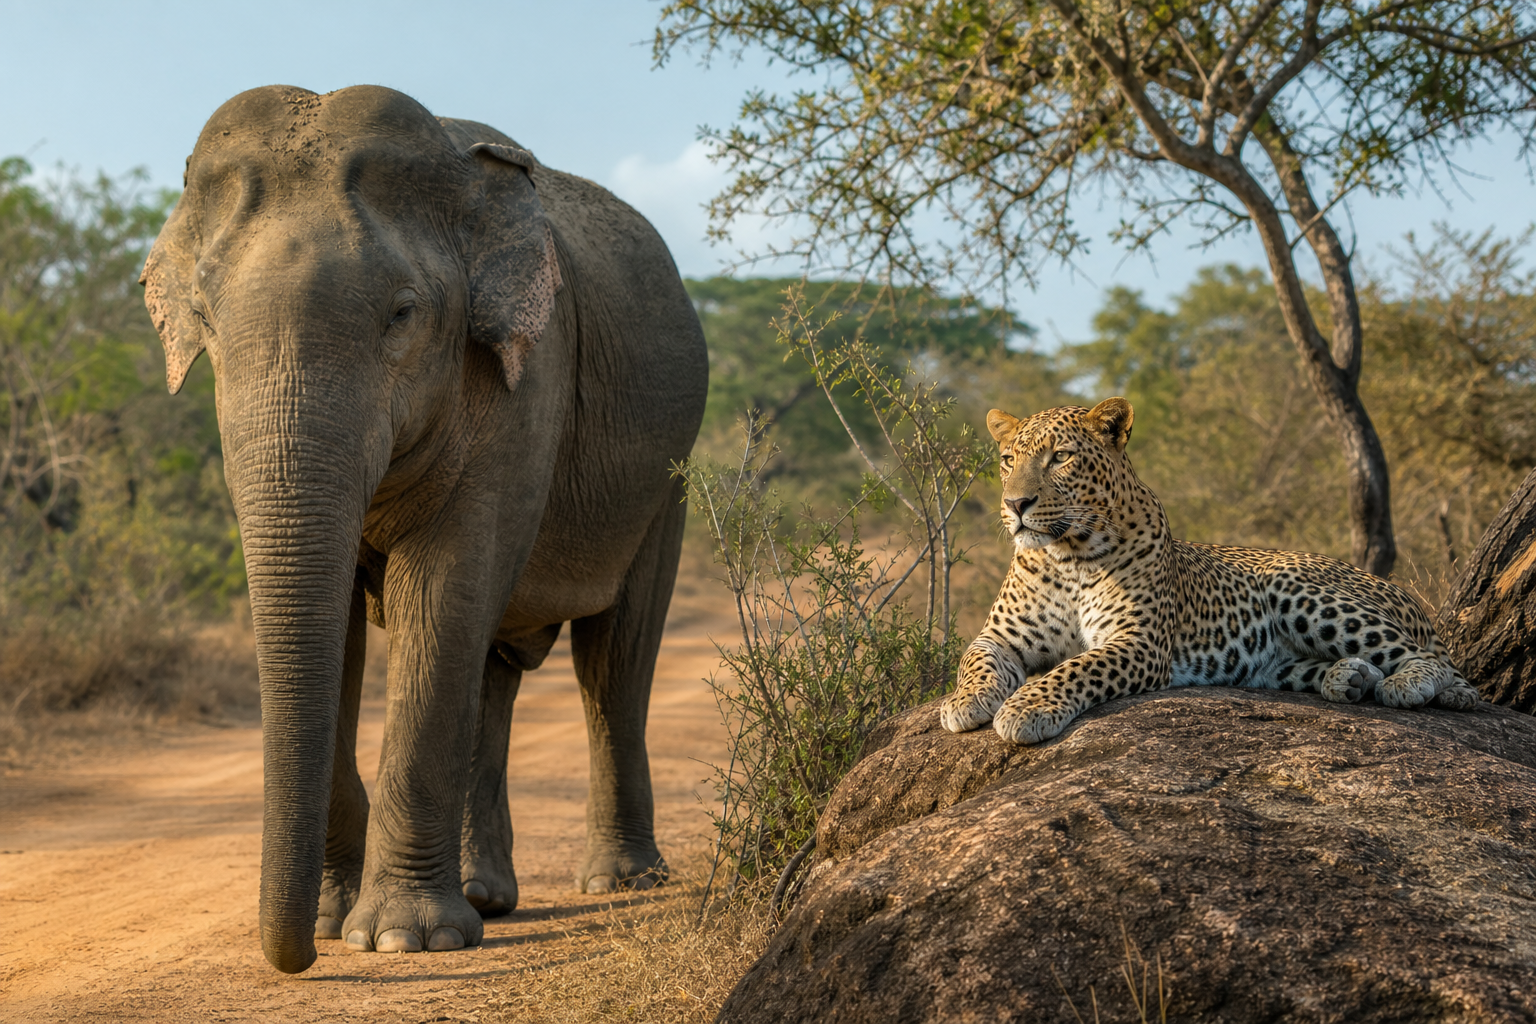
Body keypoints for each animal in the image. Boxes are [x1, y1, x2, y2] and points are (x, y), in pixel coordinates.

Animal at [140, 85, 708, 974]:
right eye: (204, 317)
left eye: (402, 314)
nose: (295, 958)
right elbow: (341, 624)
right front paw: (337, 918)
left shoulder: (526, 380)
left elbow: (441, 593)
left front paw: (401, 939)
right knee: (497, 667)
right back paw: (486, 895)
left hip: (664, 480)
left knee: (612, 658)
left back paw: (621, 882)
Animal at [940, 397, 1481, 746]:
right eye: (1008, 459)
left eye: (1061, 457)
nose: (1016, 504)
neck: (1065, 553)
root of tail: (1405, 596)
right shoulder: (1001, 636)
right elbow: (974, 660)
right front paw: (964, 702)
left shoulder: (1138, 642)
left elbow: (1076, 667)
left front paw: (1026, 708)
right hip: (1273, 665)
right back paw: (1349, 678)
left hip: (1299, 589)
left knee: (1440, 667)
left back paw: (1402, 684)